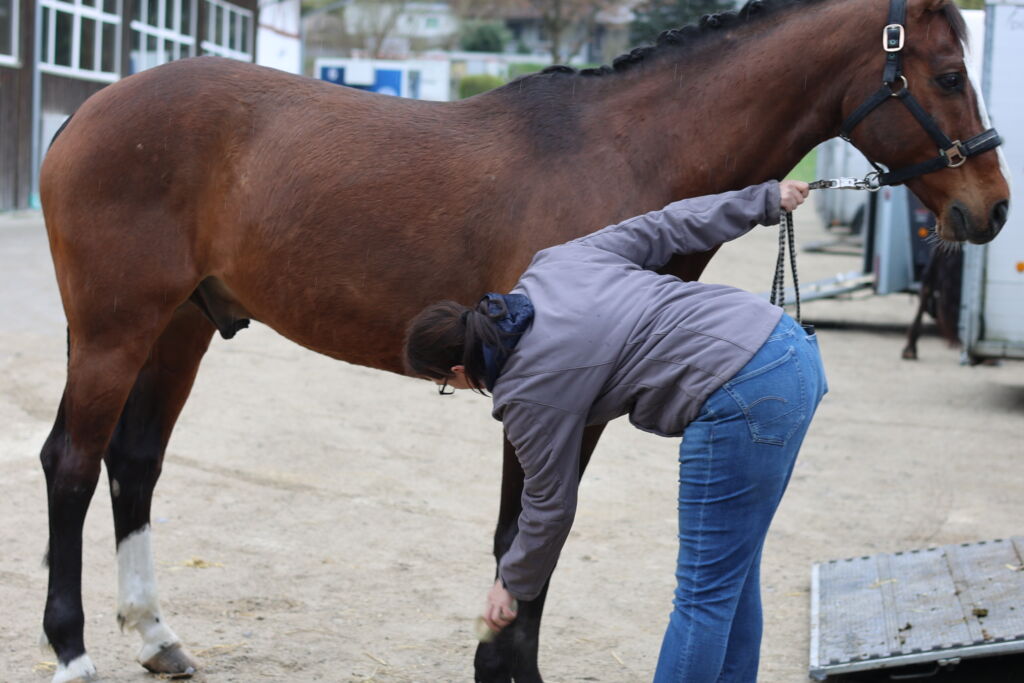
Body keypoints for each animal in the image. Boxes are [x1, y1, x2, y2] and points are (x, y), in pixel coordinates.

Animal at [36, 0, 1008, 680]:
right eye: (948, 74)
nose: (992, 208)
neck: (625, 149)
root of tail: (90, 112)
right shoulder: (550, 403)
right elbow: (523, 535)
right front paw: (503, 664)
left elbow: (531, 543)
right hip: (116, 328)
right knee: (72, 463)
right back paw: (73, 651)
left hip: (179, 328)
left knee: (134, 463)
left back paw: (157, 635)